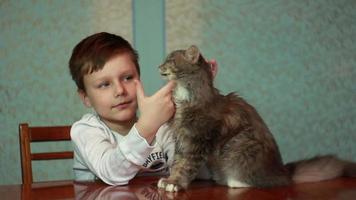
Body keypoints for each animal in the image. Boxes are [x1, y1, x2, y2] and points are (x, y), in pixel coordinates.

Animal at [157, 45, 356, 192]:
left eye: (170, 60)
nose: (158, 67)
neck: (185, 98)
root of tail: (284, 171)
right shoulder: (181, 139)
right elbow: (177, 163)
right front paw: (169, 179)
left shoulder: (197, 140)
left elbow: (185, 166)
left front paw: (174, 183)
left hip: (239, 145)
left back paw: (234, 182)